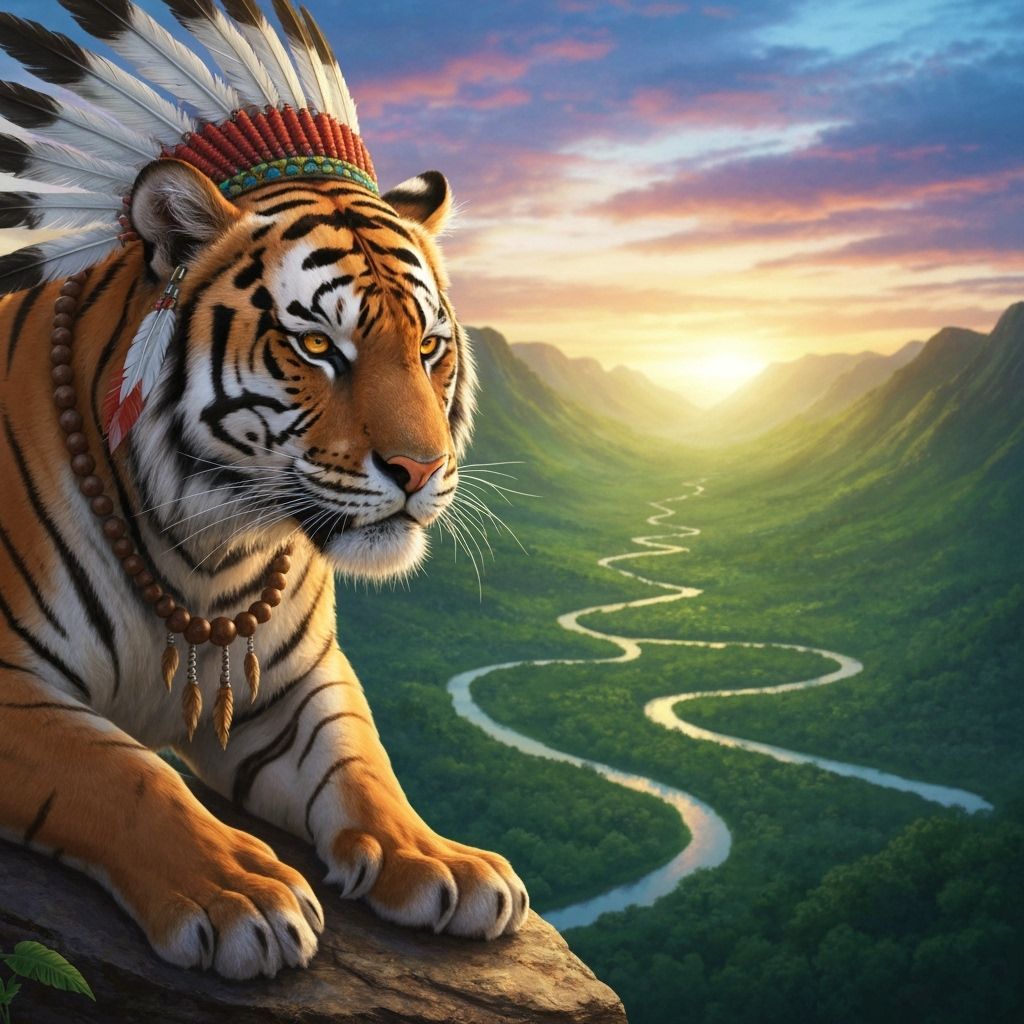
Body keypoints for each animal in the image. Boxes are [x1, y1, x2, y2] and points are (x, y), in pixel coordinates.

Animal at [0, 157, 530, 979]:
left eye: (428, 348)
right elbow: (127, 772)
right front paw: (241, 894)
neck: (209, 552)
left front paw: (442, 860)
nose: (422, 467)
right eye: (316, 346)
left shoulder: (294, 683)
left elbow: (360, 762)